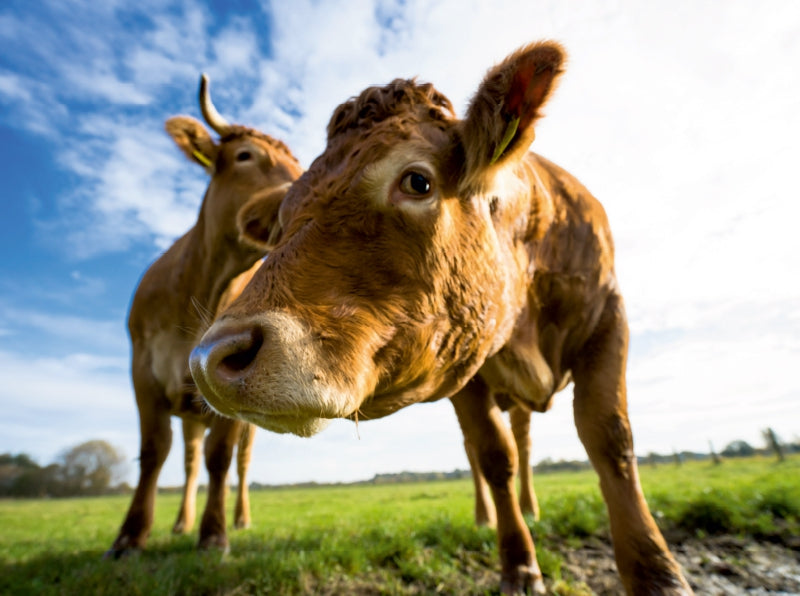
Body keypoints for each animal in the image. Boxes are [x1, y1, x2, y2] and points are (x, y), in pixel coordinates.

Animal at [105, 77, 304, 556]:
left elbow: (221, 457)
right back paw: (180, 523)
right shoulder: (143, 370)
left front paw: (214, 533)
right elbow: (154, 451)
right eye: (245, 155)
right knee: (189, 460)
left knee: (240, 463)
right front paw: (131, 535)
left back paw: (240, 518)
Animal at [189, 43, 692, 596]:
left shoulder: (608, 313)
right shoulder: (461, 365)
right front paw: (519, 562)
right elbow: (493, 456)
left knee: (526, 439)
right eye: (281, 220)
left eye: (417, 180)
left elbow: (611, 438)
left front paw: (658, 572)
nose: (211, 355)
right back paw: (487, 518)